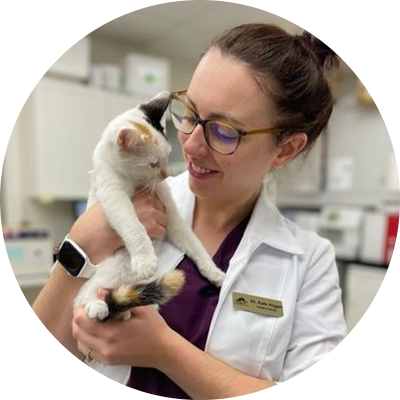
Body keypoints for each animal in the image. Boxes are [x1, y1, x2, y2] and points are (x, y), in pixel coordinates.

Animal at [72, 91, 225, 322]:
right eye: (153, 164)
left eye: (168, 156)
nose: (167, 174)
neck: (136, 181)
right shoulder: (112, 193)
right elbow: (132, 225)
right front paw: (144, 260)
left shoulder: (169, 213)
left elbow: (193, 242)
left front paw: (214, 271)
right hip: (107, 272)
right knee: (82, 297)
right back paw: (98, 306)